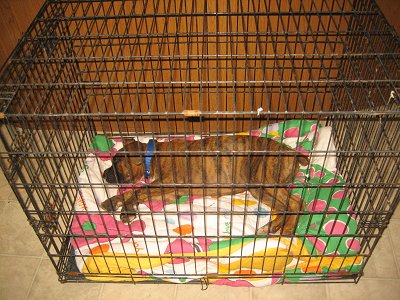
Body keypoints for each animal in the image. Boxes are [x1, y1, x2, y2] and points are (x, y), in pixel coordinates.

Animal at [101, 135, 306, 236]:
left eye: (117, 161)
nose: (103, 174)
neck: (153, 156)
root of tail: (292, 152)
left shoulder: (167, 183)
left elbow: (138, 191)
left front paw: (127, 210)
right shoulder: (168, 192)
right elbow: (133, 192)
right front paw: (114, 201)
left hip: (264, 181)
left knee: (297, 203)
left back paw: (287, 230)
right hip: (259, 189)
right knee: (285, 207)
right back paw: (270, 227)